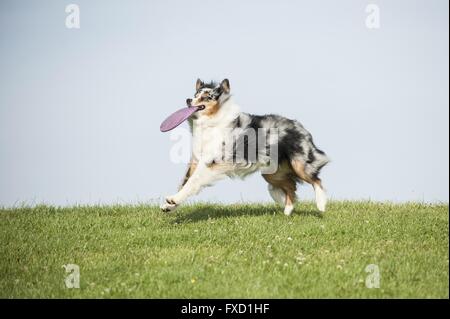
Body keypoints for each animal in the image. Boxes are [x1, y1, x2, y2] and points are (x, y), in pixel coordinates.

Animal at [160, 79, 328, 216]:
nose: (188, 100)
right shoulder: (196, 160)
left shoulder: (210, 162)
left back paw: (321, 204)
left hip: (299, 164)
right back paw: (287, 210)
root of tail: (300, 126)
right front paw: (169, 205)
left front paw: (173, 200)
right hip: (272, 172)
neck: (212, 122)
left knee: (316, 180)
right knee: (291, 187)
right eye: (195, 94)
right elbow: (184, 182)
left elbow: (192, 182)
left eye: (207, 96)